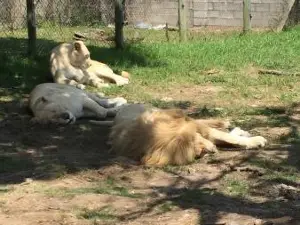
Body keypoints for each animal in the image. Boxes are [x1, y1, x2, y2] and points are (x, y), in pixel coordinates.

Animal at [105, 104, 268, 166]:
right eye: (197, 148)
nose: (212, 150)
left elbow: (228, 137)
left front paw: (254, 139)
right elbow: (227, 138)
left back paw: (227, 124)